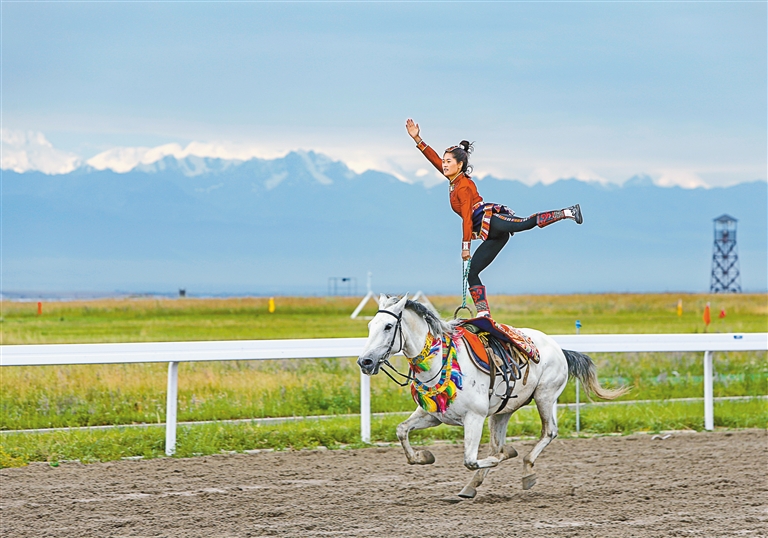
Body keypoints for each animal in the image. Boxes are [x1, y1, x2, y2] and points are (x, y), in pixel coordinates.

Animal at [356, 296, 628, 496]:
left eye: (388, 326)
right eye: (369, 326)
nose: (365, 361)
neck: (439, 363)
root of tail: (559, 348)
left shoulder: (474, 418)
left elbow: (471, 459)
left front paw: (504, 456)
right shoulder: (432, 415)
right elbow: (402, 430)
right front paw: (424, 456)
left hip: (545, 396)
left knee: (548, 432)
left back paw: (525, 469)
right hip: (502, 411)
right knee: (498, 441)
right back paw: (472, 485)